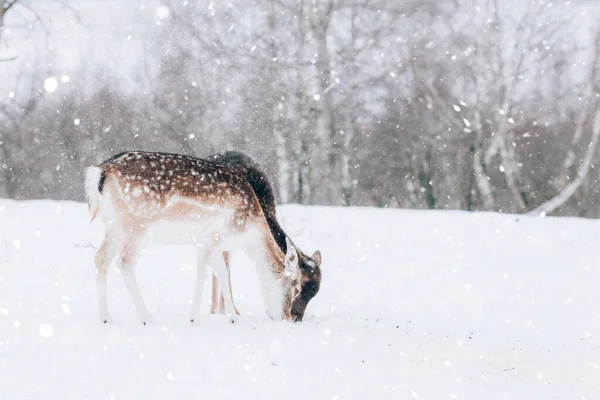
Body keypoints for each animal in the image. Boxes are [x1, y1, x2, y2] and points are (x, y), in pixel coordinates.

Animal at [83, 151, 304, 324]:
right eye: (297, 287)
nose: (288, 318)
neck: (248, 232)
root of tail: (100, 171)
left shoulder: (215, 245)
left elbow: (222, 274)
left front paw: (233, 318)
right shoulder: (210, 238)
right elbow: (203, 273)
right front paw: (194, 318)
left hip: (114, 227)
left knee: (100, 258)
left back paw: (106, 318)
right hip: (137, 227)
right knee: (124, 262)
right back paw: (147, 318)